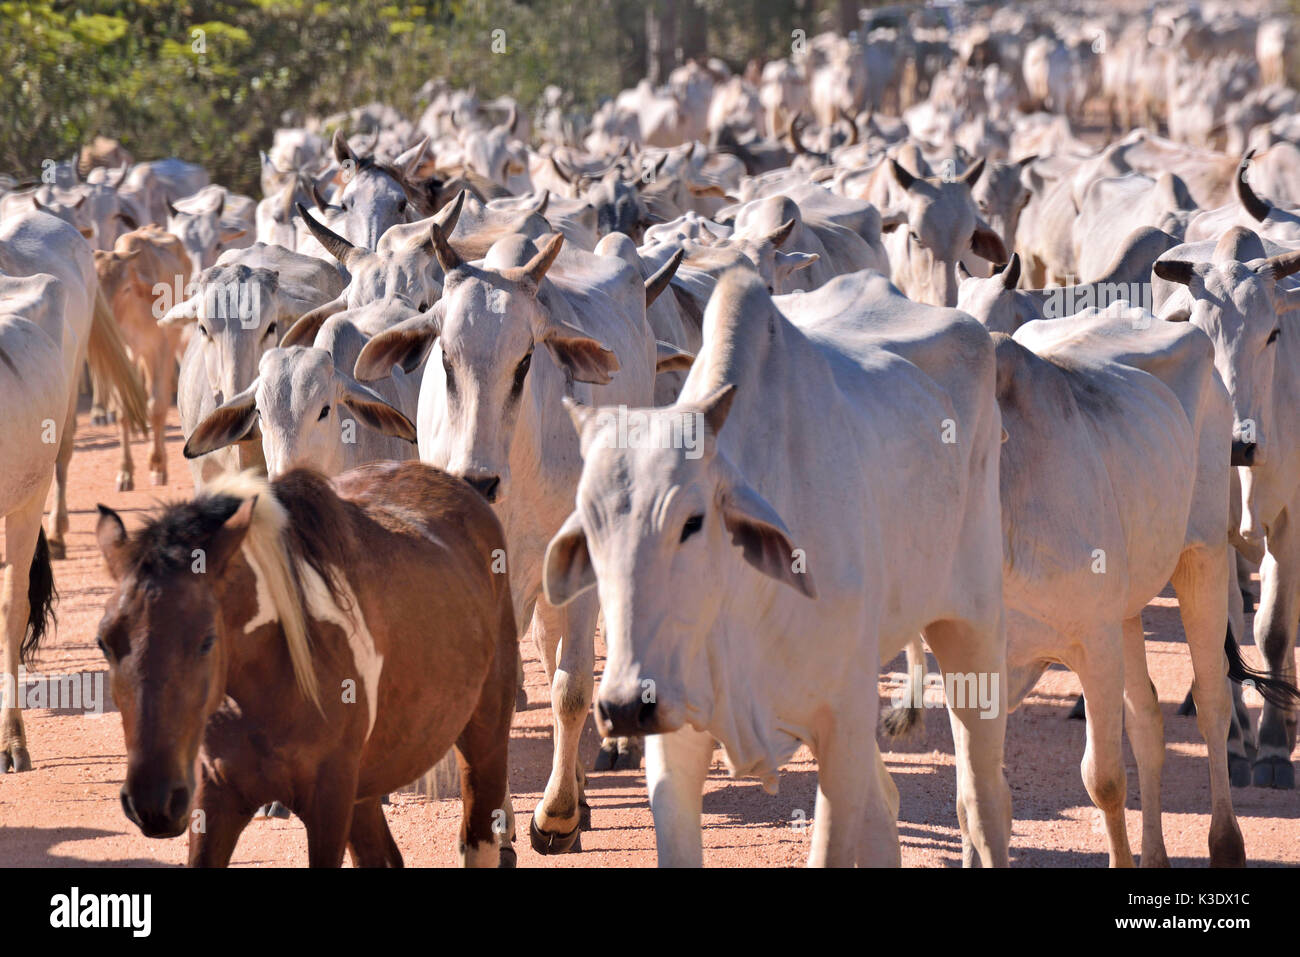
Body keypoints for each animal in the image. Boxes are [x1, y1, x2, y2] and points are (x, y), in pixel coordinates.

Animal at [94, 462, 517, 868]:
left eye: (206, 640)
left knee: (478, 841)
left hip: (485, 741)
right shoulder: (214, 798)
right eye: (104, 642)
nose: (153, 801)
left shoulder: (329, 803)